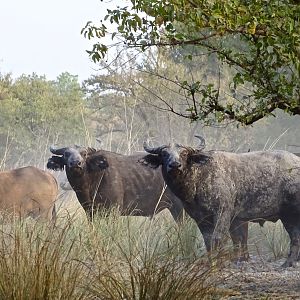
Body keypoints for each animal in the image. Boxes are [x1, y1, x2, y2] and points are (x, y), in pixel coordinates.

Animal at [46, 146, 183, 221]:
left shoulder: (113, 211)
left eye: (84, 154)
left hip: (179, 209)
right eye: (66, 154)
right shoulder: (90, 212)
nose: (76, 163)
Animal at [141, 139, 300, 268]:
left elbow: (218, 238)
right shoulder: (201, 218)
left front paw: (218, 262)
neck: (199, 179)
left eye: (184, 153)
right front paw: (211, 261)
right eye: (164, 154)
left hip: (291, 214)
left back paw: (288, 263)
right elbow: (208, 241)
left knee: (294, 237)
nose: (175, 165)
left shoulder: (223, 213)